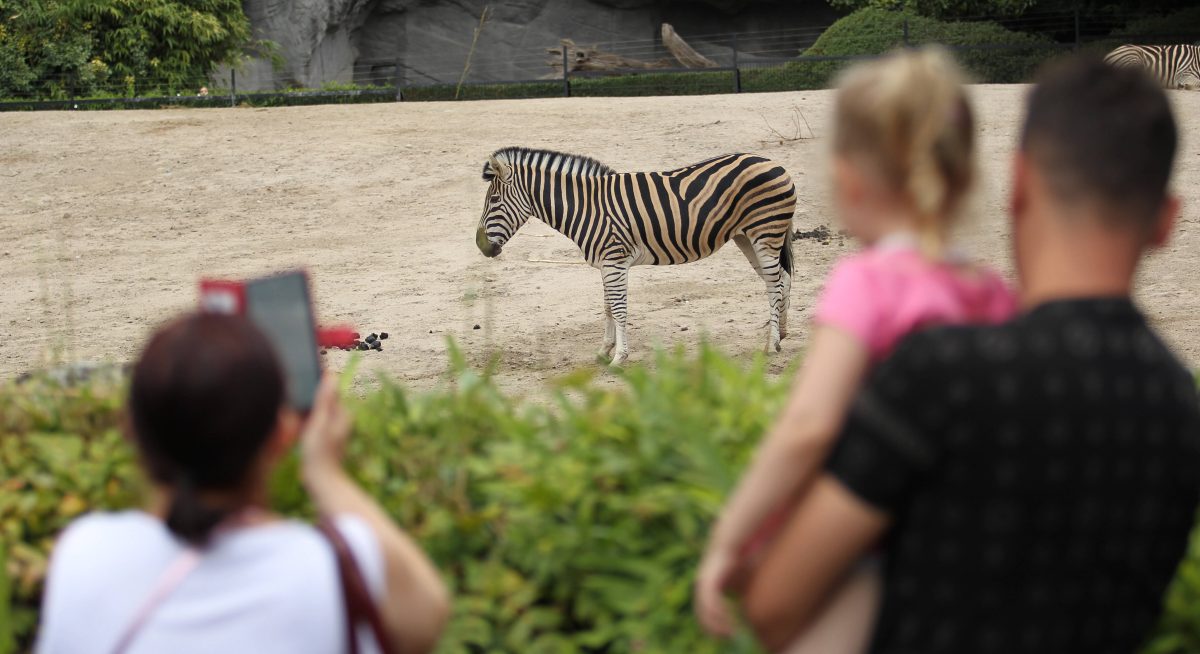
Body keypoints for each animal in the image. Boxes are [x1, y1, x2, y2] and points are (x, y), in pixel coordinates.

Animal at [470, 145, 796, 367]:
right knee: (782, 279)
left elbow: (619, 308)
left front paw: (619, 357)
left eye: (494, 200)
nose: (481, 246)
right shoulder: (605, 263)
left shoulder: (614, 261)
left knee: (775, 283)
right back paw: (781, 334)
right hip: (746, 237)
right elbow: (606, 307)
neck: (586, 207)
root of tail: (775, 163)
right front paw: (604, 350)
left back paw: (771, 344)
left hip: (764, 231)